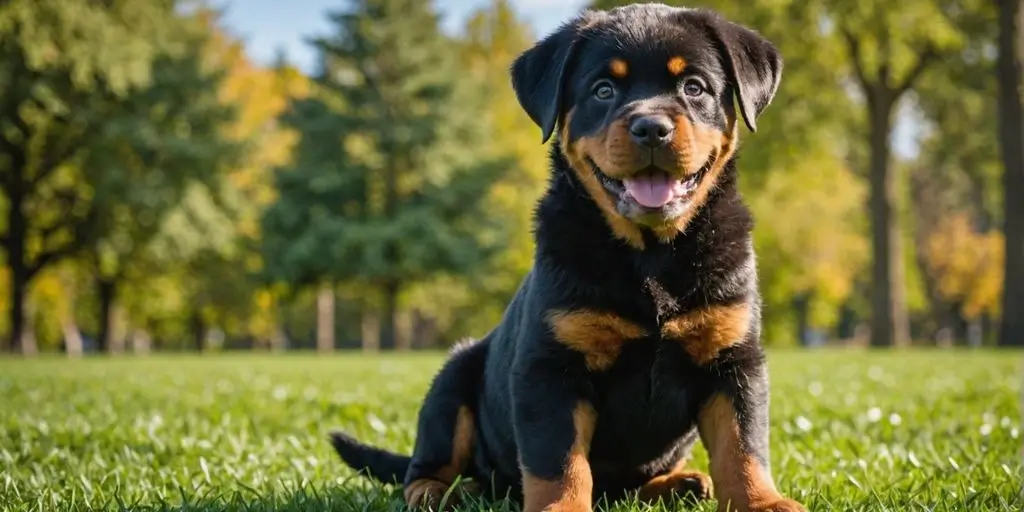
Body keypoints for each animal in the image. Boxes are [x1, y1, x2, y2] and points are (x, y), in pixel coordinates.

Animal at [331, 4, 802, 512]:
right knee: (431, 459)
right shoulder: (552, 367)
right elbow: (558, 463)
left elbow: (742, 445)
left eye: (693, 87)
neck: (650, 254)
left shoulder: (734, 359)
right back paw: (441, 491)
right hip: (454, 375)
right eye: (604, 89)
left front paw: (763, 501)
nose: (651, 128)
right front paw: (560, 506)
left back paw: (678, 483)